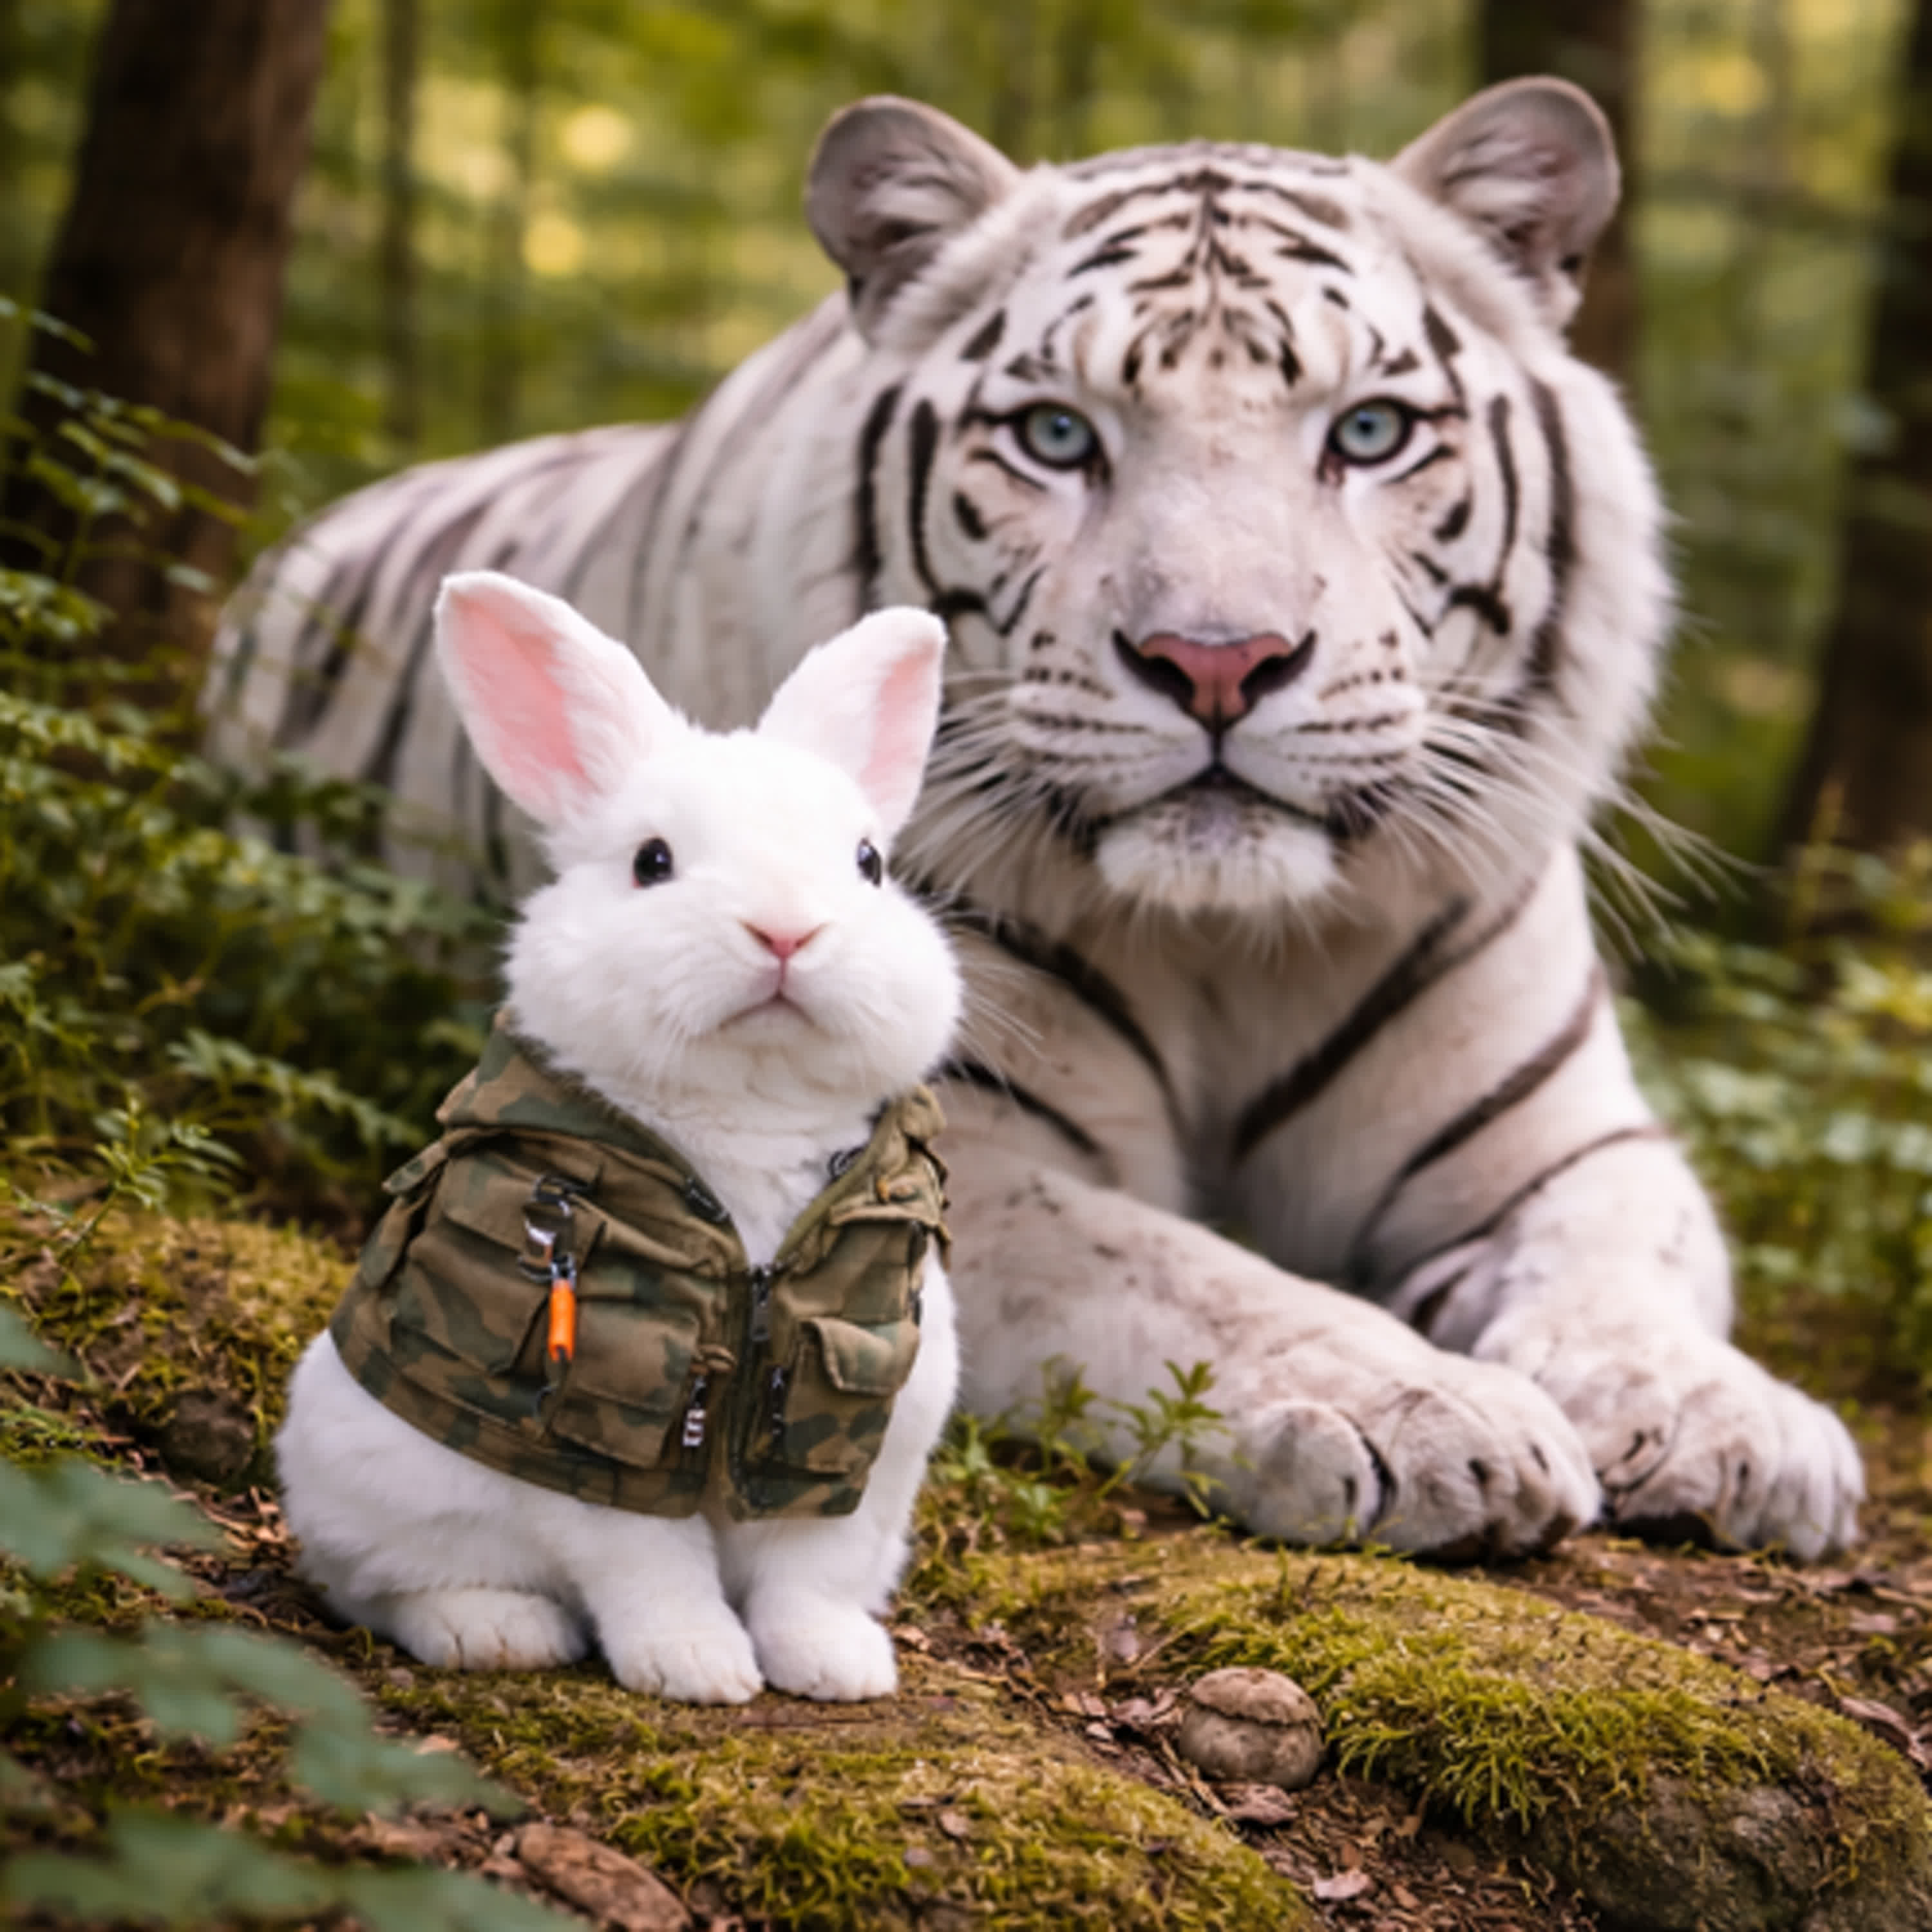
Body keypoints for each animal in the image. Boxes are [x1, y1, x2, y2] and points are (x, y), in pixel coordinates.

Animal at [208, 77, 1863, 1560]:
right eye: (1059, 439)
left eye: (1374, 431)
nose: (1217, 660)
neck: (1232, 951)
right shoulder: (949, 1156)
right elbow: (1181, 1267)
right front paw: (1422, 1408)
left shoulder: (1560, 1136)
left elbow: (1628, 1253)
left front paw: (1722, 1423)